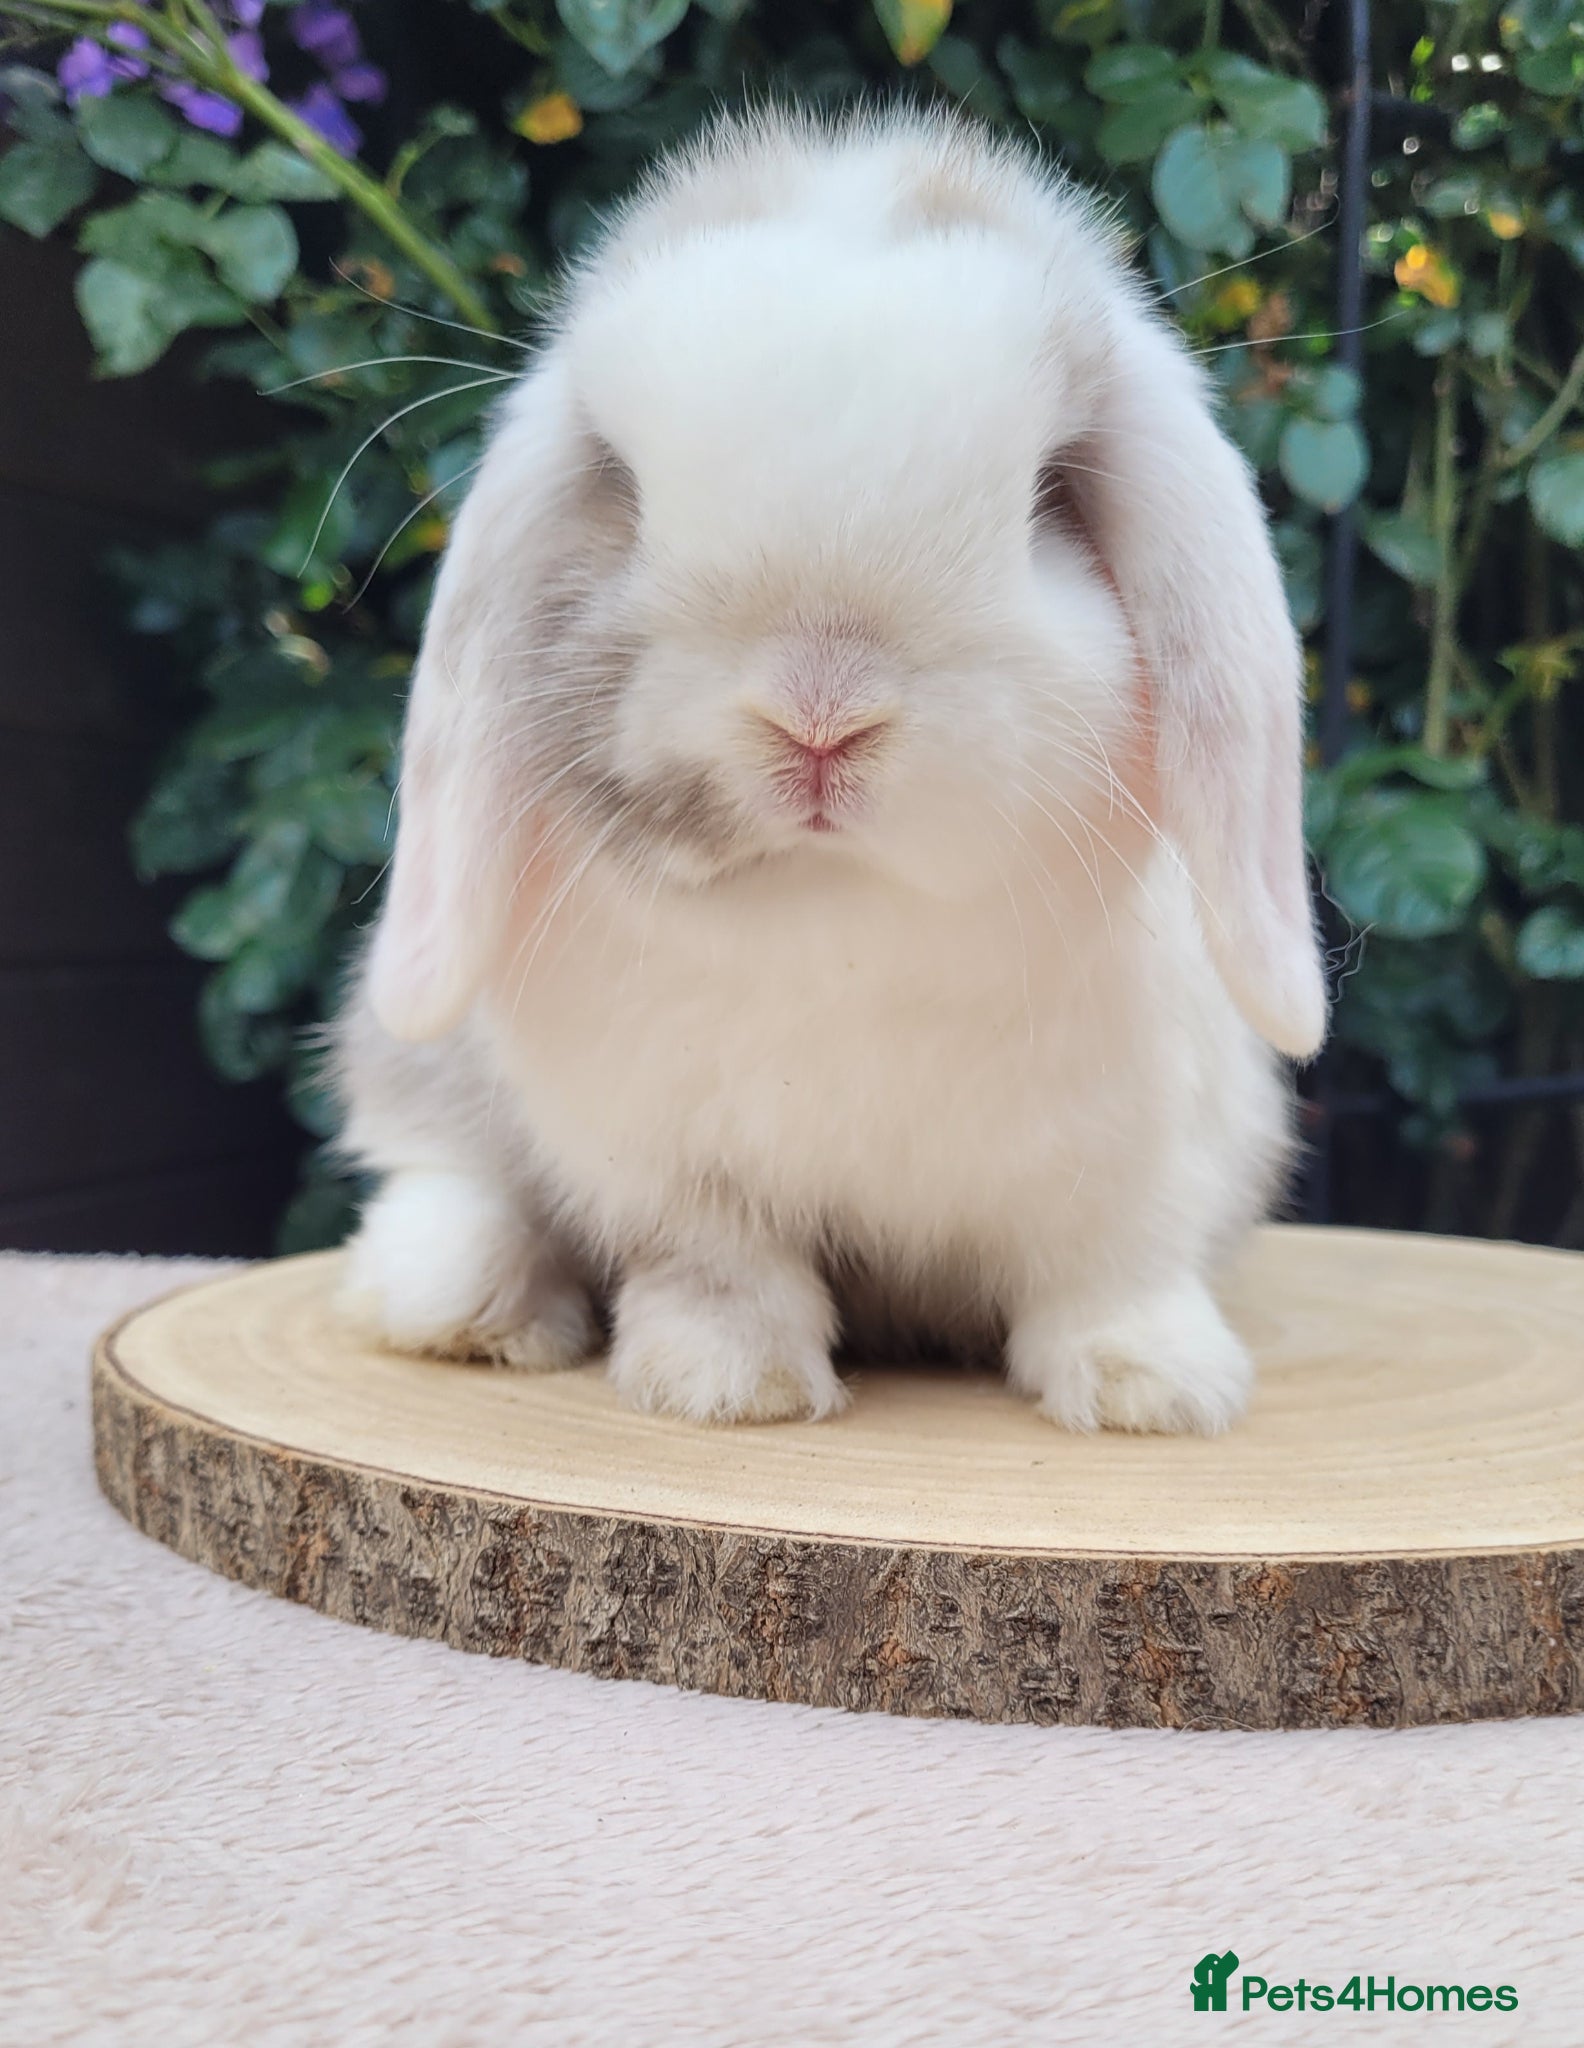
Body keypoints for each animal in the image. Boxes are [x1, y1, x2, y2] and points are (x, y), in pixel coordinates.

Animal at [331, 103, 1327, 1434]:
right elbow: (720, 1266)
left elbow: (1111, 1264)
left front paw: (1154, 1388)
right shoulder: (664, 1155)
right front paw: (727, 1385)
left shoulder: (1136, 1146)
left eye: (1049, 495)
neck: (839, 914)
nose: (819, 713)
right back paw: (460, 1302)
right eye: (626, 490)